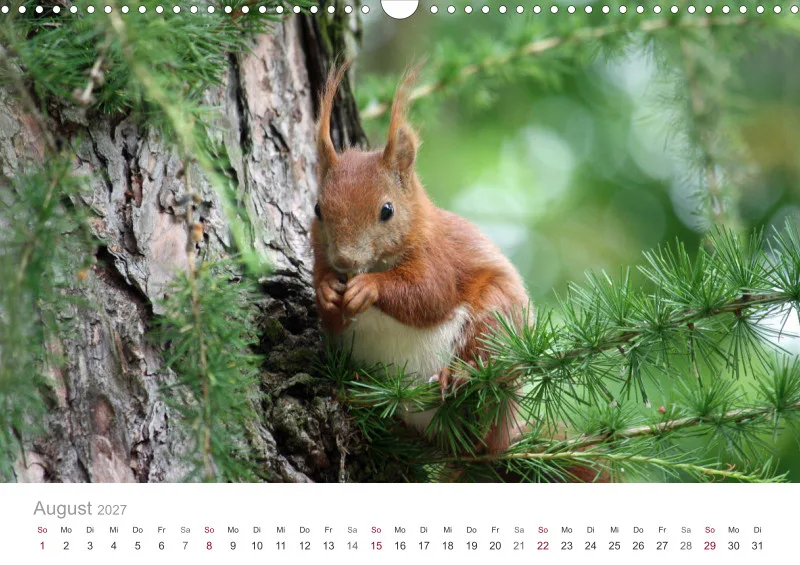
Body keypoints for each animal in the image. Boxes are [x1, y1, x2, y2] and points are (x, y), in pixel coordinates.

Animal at [311, 63, 531, 458]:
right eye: (318, 209)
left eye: (387, 210)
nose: (345, 261)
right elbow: (330, 314)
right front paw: (326, 291)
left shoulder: (438, 256)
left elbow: (429, 295)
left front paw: (369, 287)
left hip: (497, 319)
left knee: (486, 359)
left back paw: (455, 377)